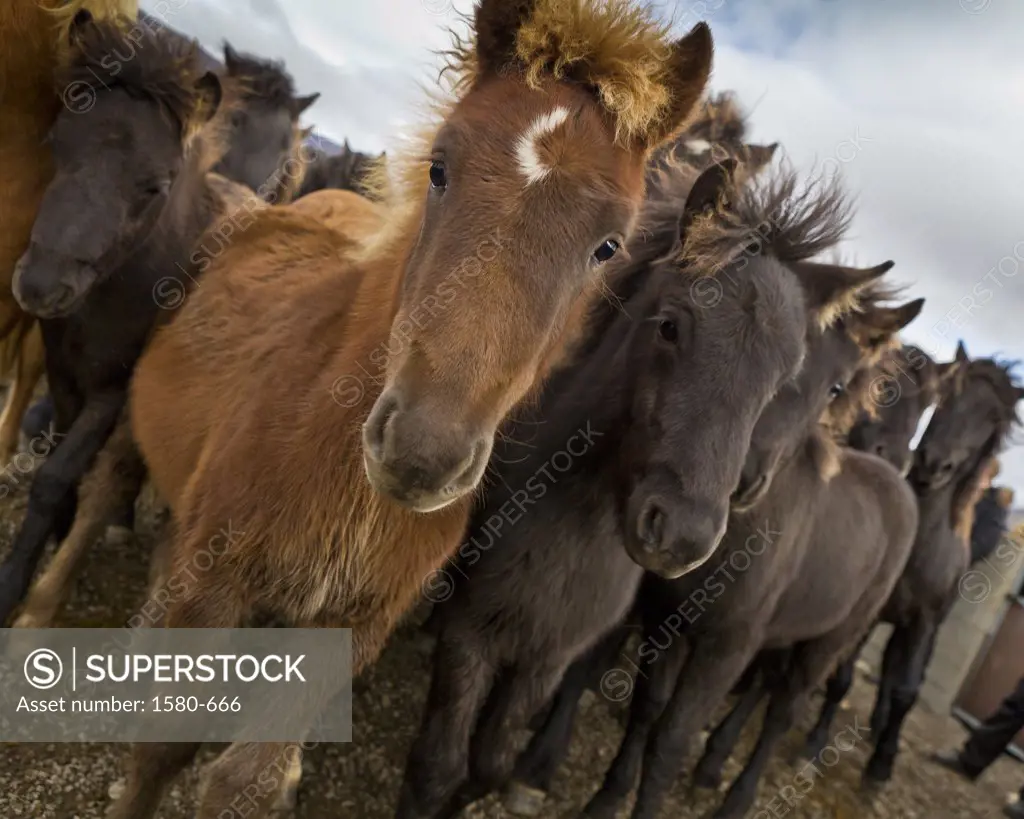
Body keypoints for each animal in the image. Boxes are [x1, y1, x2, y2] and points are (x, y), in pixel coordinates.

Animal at [103, 1, 712, 818]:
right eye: (439, 169)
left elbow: (246, 774)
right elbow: (163, 747)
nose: (421, 453)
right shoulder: (214, 582)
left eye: (608, 245)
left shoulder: (359, 621)